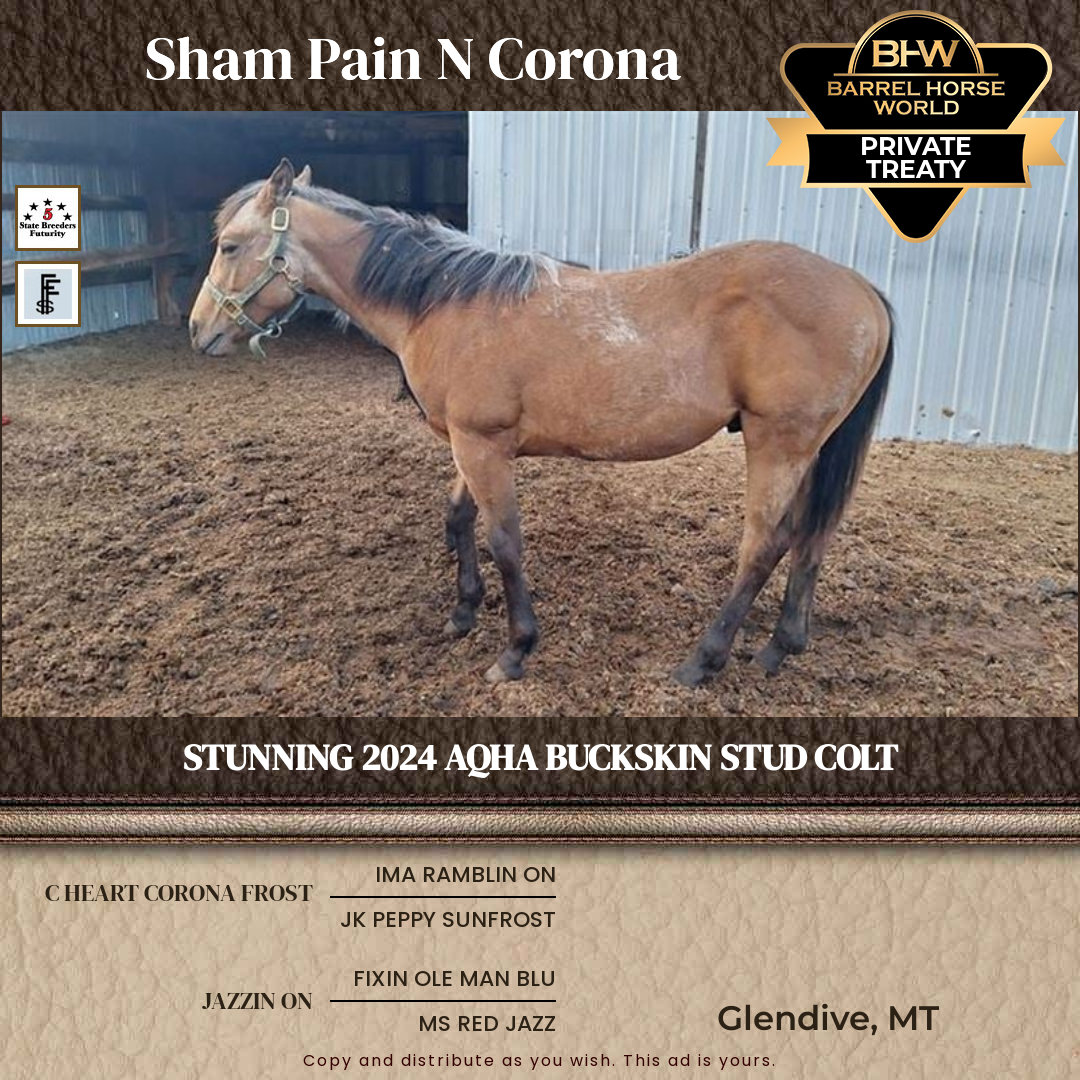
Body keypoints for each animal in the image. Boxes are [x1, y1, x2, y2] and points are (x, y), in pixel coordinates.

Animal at [189, 159, 894, 688]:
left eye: (230, 245)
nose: (199, 331)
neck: (445, 304)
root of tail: (861, 287)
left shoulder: (483, 446)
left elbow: (504, 541)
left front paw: (515, 650)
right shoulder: (465, 444)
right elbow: (458, 519)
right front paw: (462, 613)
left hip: (780, 443)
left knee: (765, 545)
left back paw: (703, 661)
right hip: (809, 448)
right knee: (811, 537)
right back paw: (780, 646)